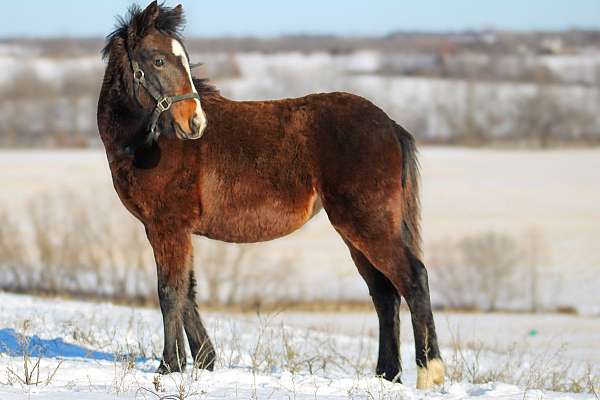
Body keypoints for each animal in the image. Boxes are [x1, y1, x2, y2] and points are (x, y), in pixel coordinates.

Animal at [97, 0, 446, 388]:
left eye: (182, 59)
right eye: (158, 60)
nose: (195, 123)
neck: (149, 143)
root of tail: (390, 125)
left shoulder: (168, 226)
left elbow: (170, 291)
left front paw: (169, 367)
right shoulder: (166, 229)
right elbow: (187, 290)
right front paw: (204, 361)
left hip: (367, 225)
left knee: (413, 280)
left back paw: (429, 373)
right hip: (356, 232)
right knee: (385, 294)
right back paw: (387, 376)